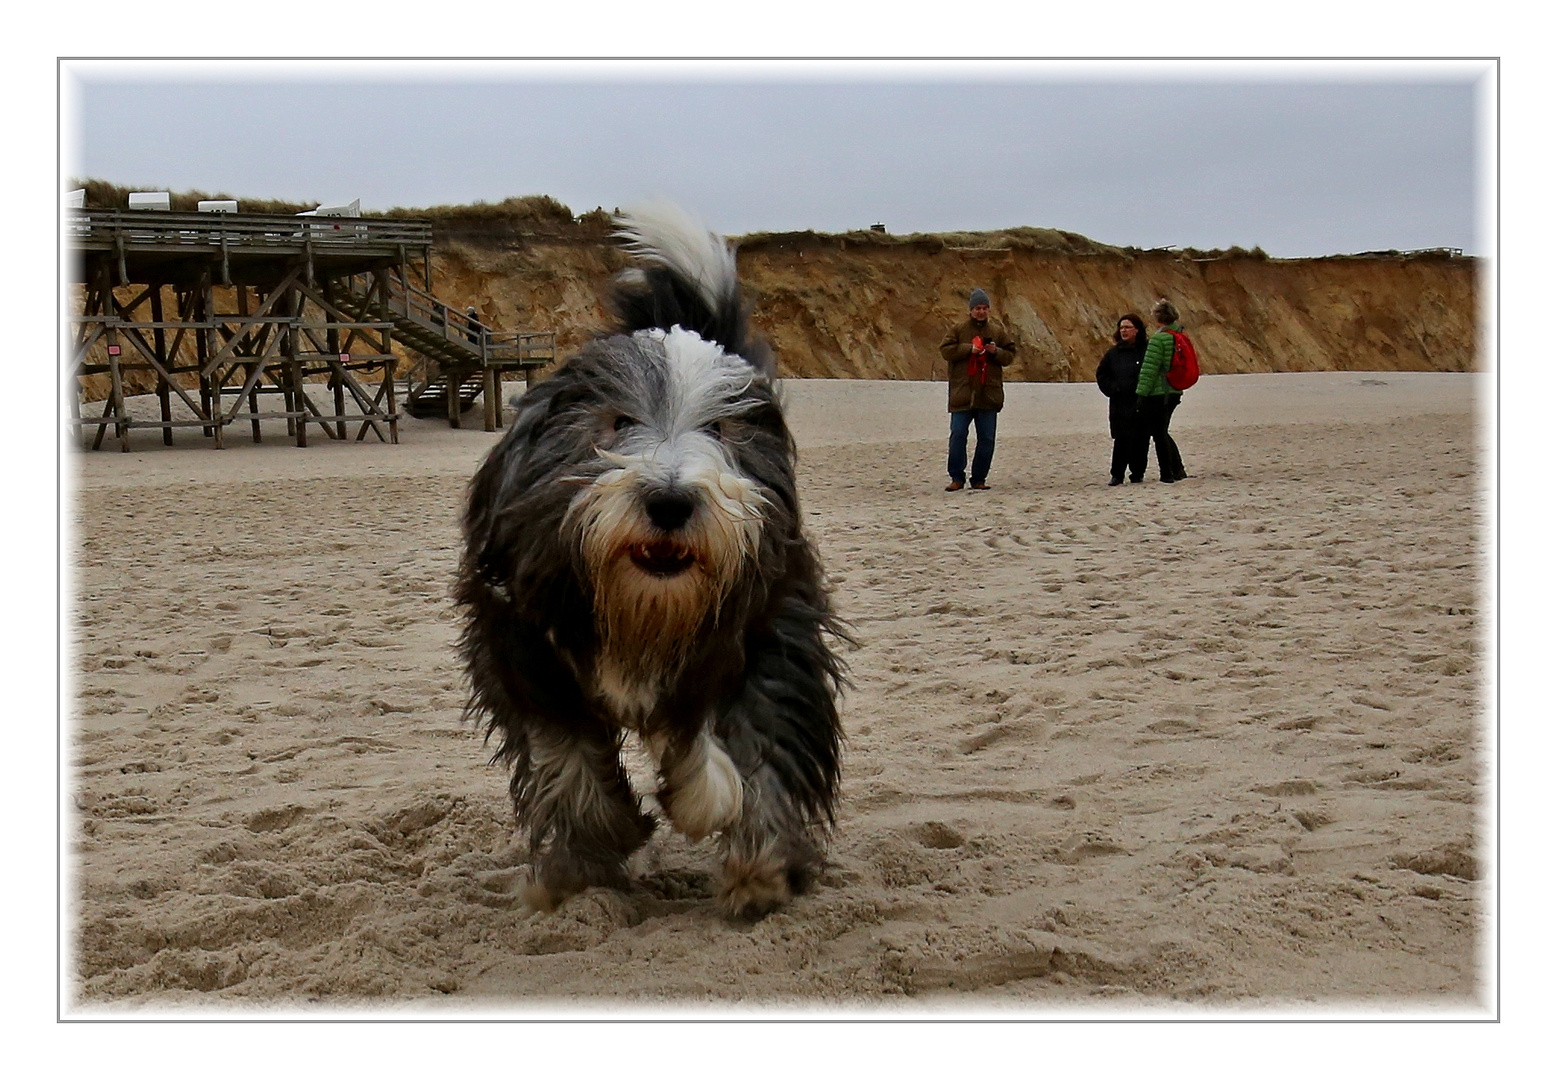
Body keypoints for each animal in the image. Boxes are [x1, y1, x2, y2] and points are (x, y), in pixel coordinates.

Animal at [454, 205, 853, 921]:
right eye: (616, 422)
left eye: (720, 431)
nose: (670, 500)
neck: (642, 607)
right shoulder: (526, 644)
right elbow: (567, 758)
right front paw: (586, 860)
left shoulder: (764, 629)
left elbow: (752, 743)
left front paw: (753, 861)